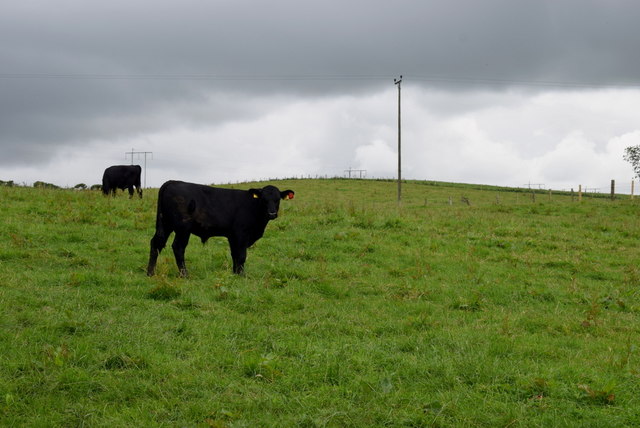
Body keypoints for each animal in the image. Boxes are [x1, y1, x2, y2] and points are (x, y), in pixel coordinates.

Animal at [146, 180, 294, 274]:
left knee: (156, 244)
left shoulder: (233, 236)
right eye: (263, 199)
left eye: (278, 199)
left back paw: (150, 272)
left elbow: (234, 254)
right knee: (178, 247)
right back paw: (184, 274)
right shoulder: (241, 234)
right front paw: (242, 275)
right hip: (183, 228)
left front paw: (235, 273)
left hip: (166, 224)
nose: (272, 213)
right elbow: (241, 255)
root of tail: (172, 182)